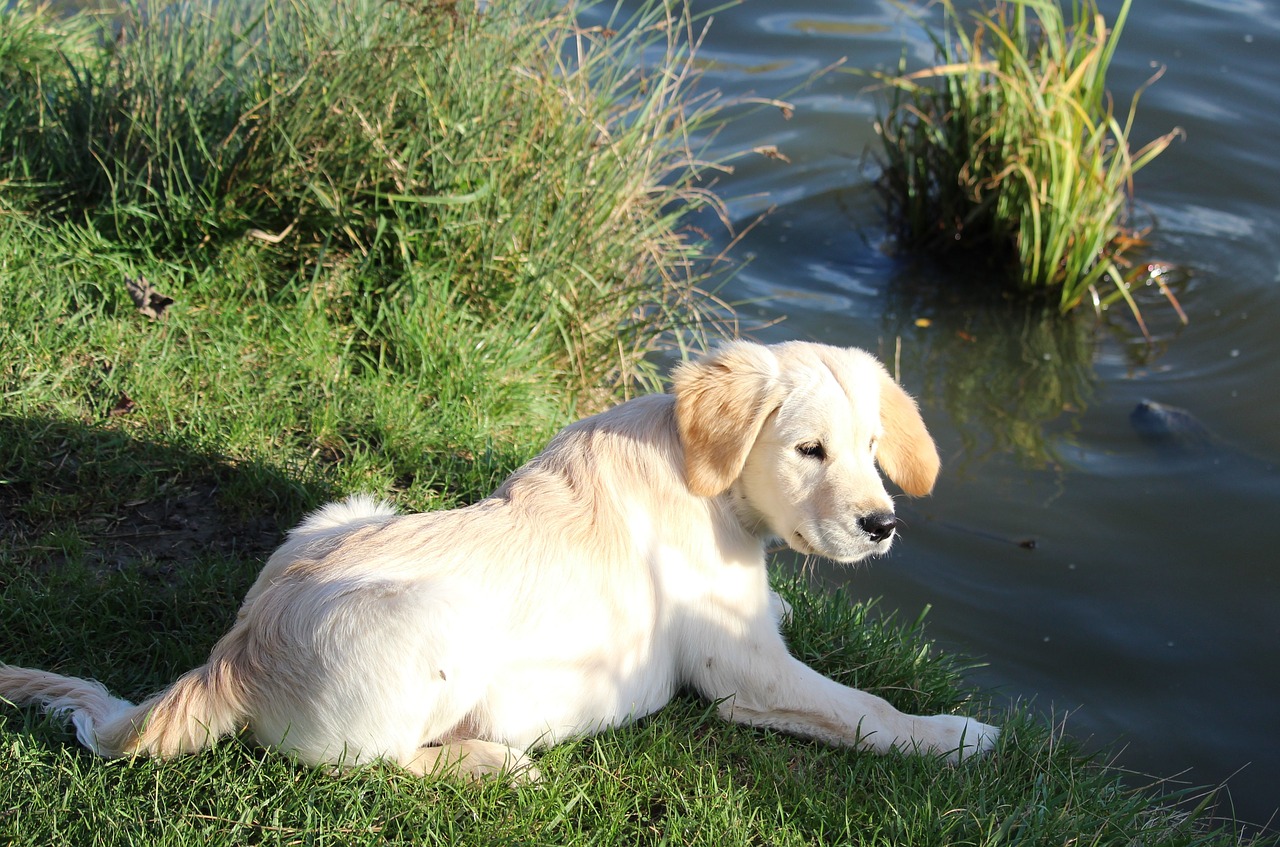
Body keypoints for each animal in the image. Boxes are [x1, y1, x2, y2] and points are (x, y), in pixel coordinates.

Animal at [0, 340, 993, 783]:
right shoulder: (745, 670)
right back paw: (492, 762)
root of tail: (231, 655)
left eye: (871, 447)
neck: (709, 484)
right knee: (374, 764)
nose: (881, 524)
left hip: (345, 507)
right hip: (439, 621)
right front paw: (956, 733)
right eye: (808, 450)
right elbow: (866, 706)